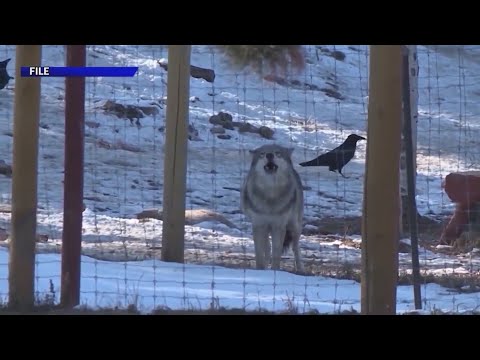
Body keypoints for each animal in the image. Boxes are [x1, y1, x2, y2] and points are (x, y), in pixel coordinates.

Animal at [240, 143, 304, 272]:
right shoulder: (258, 224)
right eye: (262, 154)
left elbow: (277, 253)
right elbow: (260, 253)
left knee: (296, 248)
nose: (269, 155)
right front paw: (261, 270)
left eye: (277, 153)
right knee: (267, 247)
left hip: (294, 227)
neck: (270, 196)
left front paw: (275, 271)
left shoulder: (279, 226)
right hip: (265, 228)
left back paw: (300, 269)